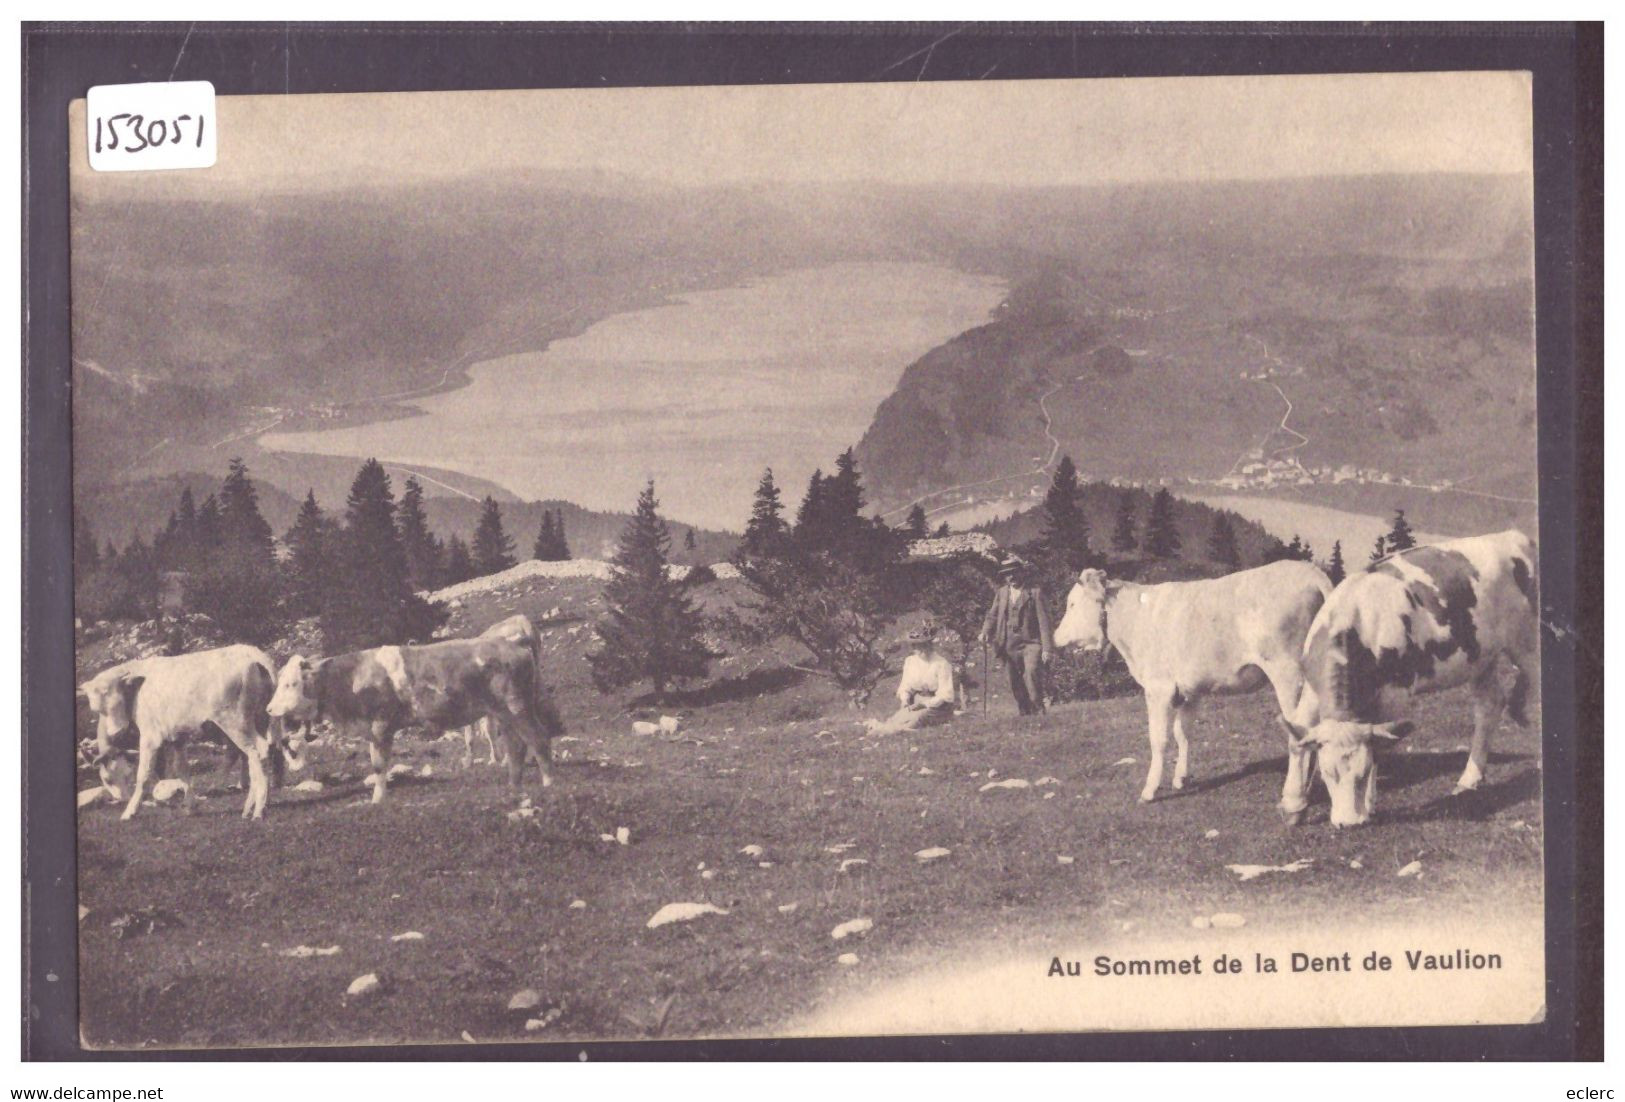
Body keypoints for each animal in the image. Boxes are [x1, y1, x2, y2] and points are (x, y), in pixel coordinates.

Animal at [76, 646, 281, 819]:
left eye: (108, 779)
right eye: (96, 707)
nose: (116, 731)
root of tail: (251, 652)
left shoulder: (150, 736)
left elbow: (144, 774)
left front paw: (130, 811)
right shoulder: (178, 738)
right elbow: (182, 769)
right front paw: (190, 806)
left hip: (235, 722)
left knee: (257, 751)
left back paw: (258, 809)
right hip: (260, 718)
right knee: (260, 753)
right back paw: (256, 805)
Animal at [268, 633, 565, 806]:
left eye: (291, 683)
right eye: (279, 681)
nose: (270, 710)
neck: (352, 678)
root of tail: (515, 647)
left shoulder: (381, 724)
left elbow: (378, 765)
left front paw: (377, 800)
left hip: (518, 706)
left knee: (539, 738)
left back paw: (549, 783)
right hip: (502, 712)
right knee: (516, 746)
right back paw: (514, 787)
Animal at [1053, 565, 1332, 806]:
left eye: (1072, 604)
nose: (1055, 638)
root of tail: (1309, 570)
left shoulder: (1158, 687)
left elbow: (1158, 738)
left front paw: (1149, 790)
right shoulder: (1190, 690)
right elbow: (1182, 732)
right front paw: (1181, 778)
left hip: (1288, 673)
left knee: (1301, 729)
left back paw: (1295, 795)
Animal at [1280, 529, 1534, 828]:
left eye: (1362, 772)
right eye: (1328, 772)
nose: (1348, 823)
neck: (1355, 620)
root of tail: (1512, 535)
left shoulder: (1395, 693)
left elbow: (1381, 744)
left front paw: (1369, 805)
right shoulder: (1311, 685)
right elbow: (1296, 735)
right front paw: (1293, 804)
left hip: (1527, 641)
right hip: (1481, 658)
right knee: (1490, 705)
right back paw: (1469, 778)